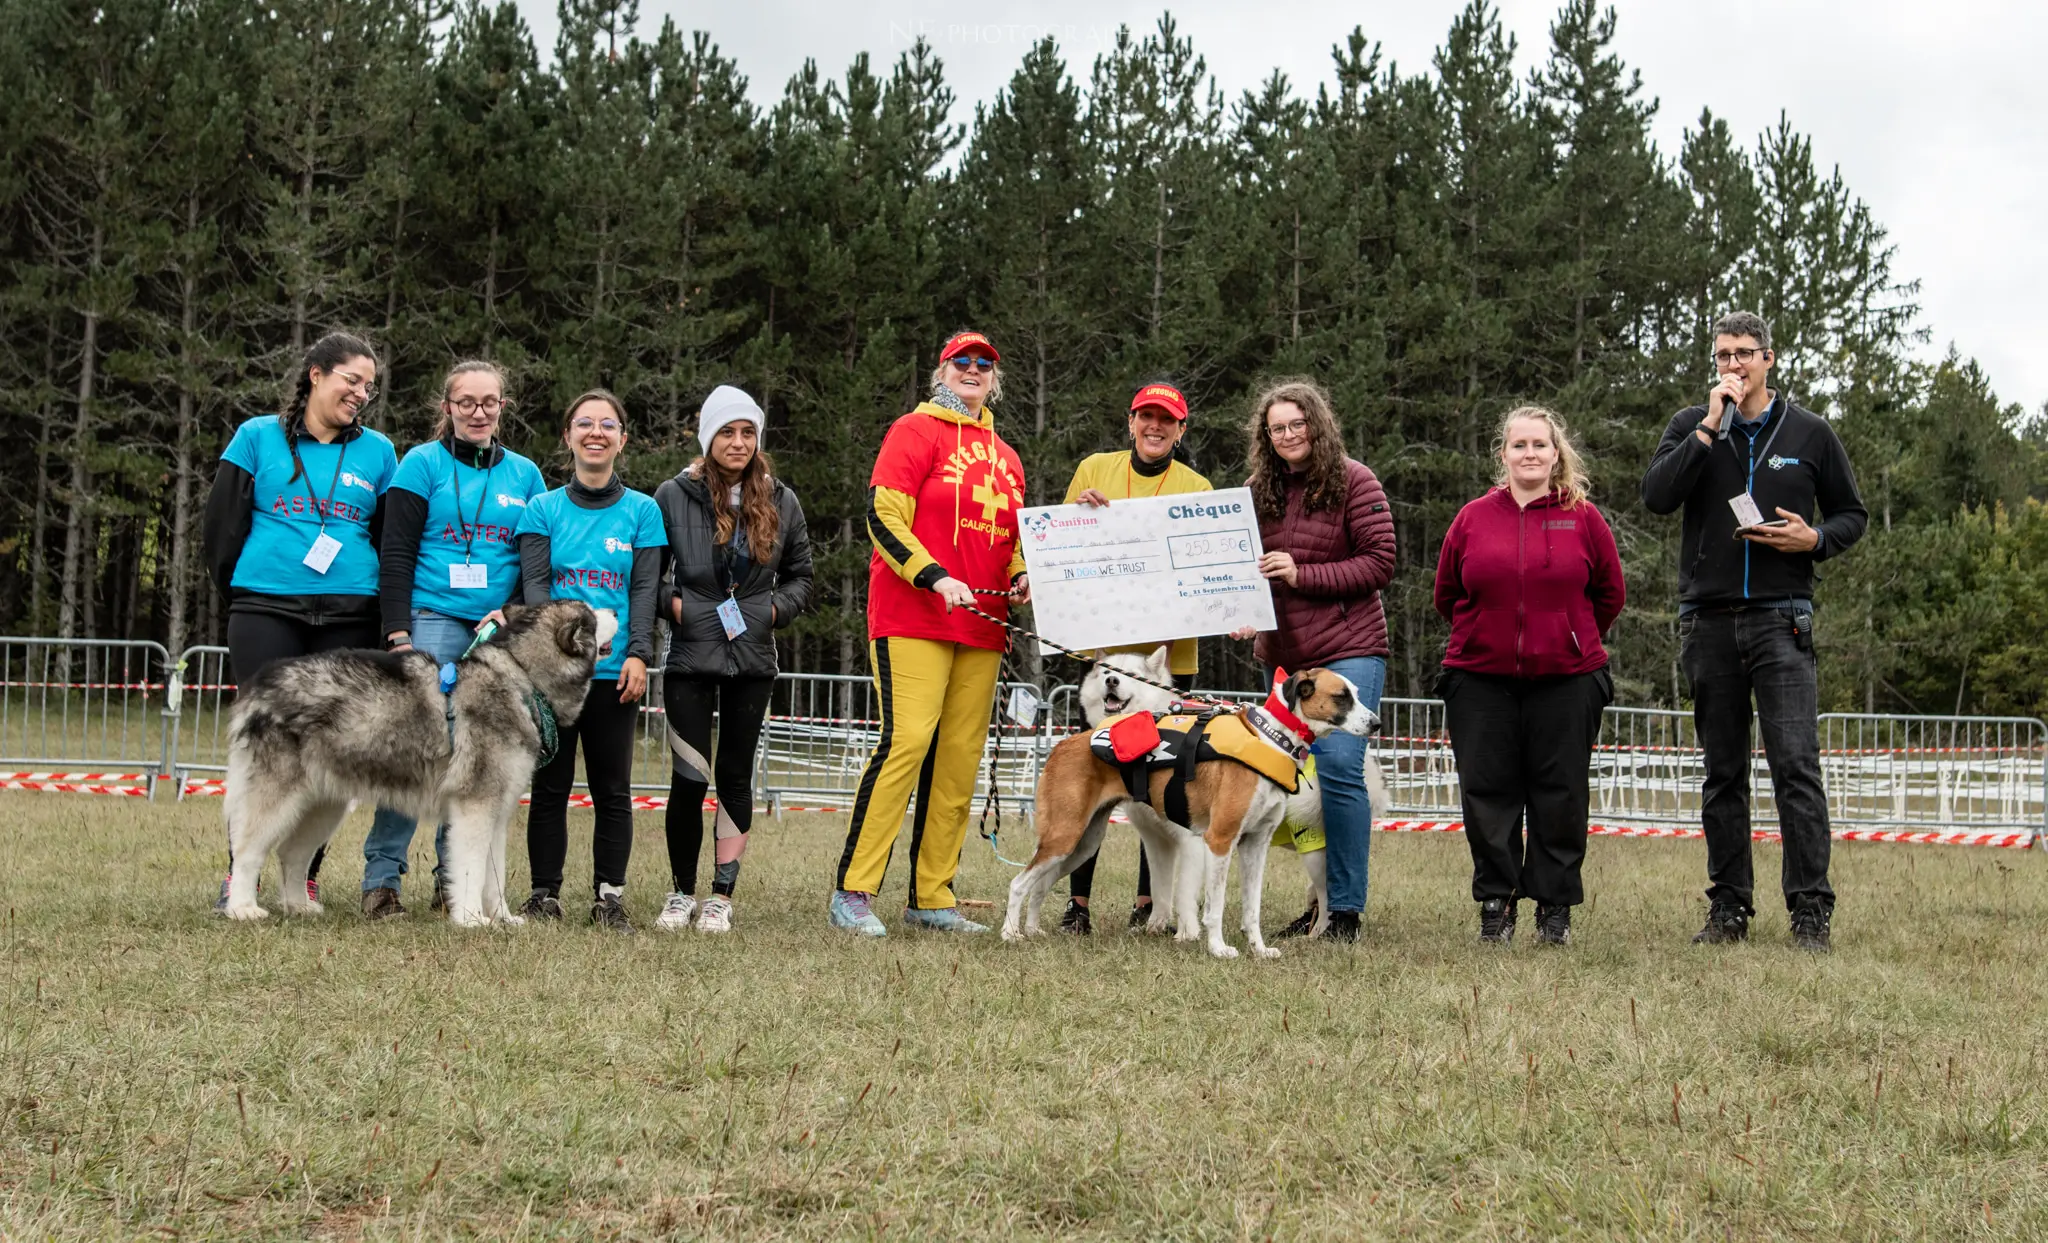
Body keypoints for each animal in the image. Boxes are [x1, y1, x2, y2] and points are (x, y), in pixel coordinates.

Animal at [1003, 671, 1376, 962]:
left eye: (1356, 693)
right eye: (1341, 697)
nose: (1376, 723)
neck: (1271, 740)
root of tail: (1062, 745)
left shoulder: (1256, 845)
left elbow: (1252, 908)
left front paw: (1259, 949)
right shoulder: (1220, 840)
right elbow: (1215, 905)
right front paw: (1218, 948)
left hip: (1081, 844)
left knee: (1040, 885)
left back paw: (1032, 929)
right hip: (1064, 836)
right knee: (1019, 883)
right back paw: (1011, 934)